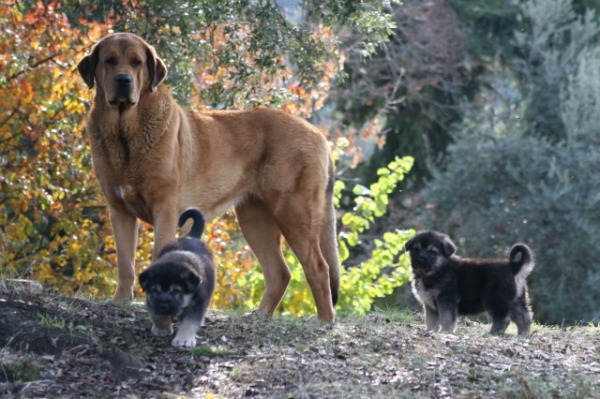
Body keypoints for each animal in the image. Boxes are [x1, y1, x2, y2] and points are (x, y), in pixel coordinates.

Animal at [77, 33, 340, 322]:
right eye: (110, 61)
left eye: (136, 62)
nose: (123, 80)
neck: (125, 133)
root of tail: (319, 135)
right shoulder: (119, 211)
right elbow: (125, 263)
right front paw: (121, 301)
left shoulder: (165, 209)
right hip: (254, 219)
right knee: (279, 272)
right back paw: (260, 315)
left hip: (294, 213)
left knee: (318, 267)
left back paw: (324, 321)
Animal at [139, 208, 216, 348]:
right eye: (155, 291)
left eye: (176, 292)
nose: (164, 305)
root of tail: (191, 236)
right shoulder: (151, 301)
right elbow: (157, 316)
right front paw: (162, 329)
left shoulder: (197, 302)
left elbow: (189, 322)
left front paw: (184, 339)